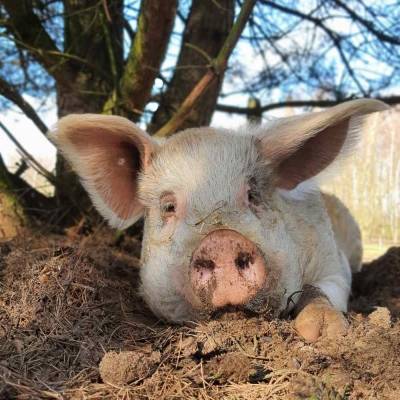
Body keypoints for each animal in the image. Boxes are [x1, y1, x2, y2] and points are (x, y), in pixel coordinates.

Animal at [51, 99, 390, 340]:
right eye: (168, 206)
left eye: (253, 194)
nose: (223, 241)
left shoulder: (334, 262)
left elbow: (320, 289)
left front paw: (325, 331)